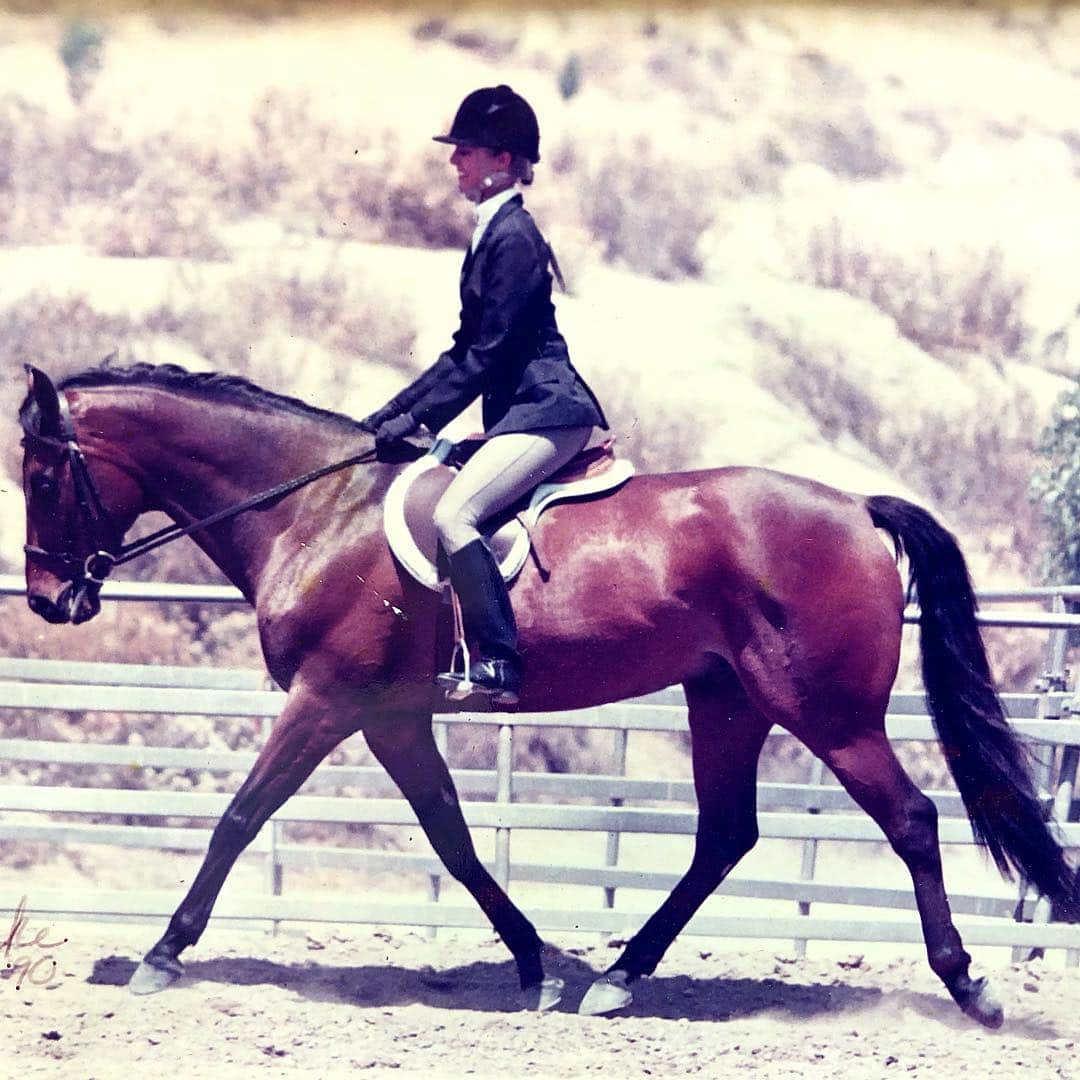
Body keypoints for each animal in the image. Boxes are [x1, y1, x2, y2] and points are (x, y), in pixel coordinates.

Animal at [18, 362, 1078, 1027]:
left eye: (40, 475)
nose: (47, 600)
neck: (311, 511)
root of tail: (859, 508)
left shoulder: (328, 700)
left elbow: (239, 817)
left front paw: (162, 954)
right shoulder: (393, 716)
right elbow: (451, 838)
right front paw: (532, 965)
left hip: (827, 712)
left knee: (911, 820)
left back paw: (970, 988)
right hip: (726, 701)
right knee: (725, 837)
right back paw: (615, 979)